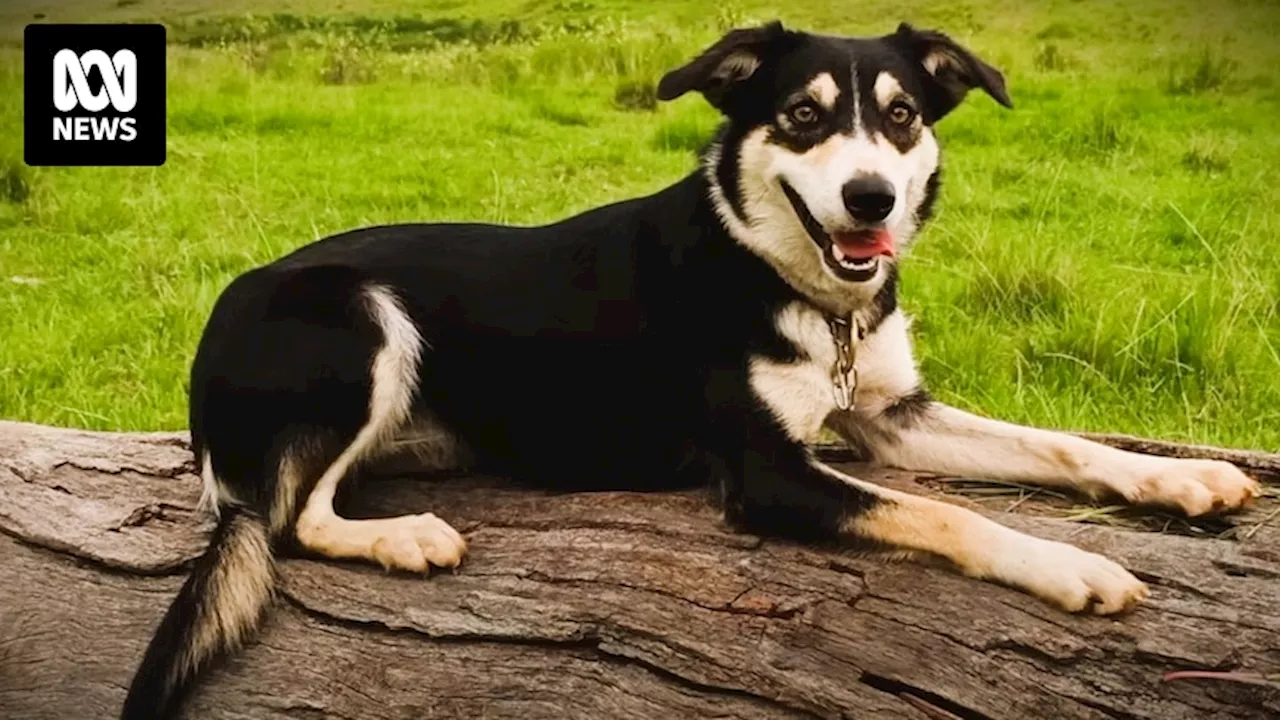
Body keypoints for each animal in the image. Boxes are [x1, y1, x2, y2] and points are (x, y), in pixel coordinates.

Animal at [120, 22, 1259, 717]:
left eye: (901, 117)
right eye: (801, 115)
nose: (870, 199)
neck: (782, 272)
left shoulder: (894, 412)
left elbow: (1058, 446)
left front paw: (1182, 478)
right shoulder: (769, 471)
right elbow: (950, 517)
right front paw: (1074, 568)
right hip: (361, 320)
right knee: (292, 523)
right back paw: (403, 538)